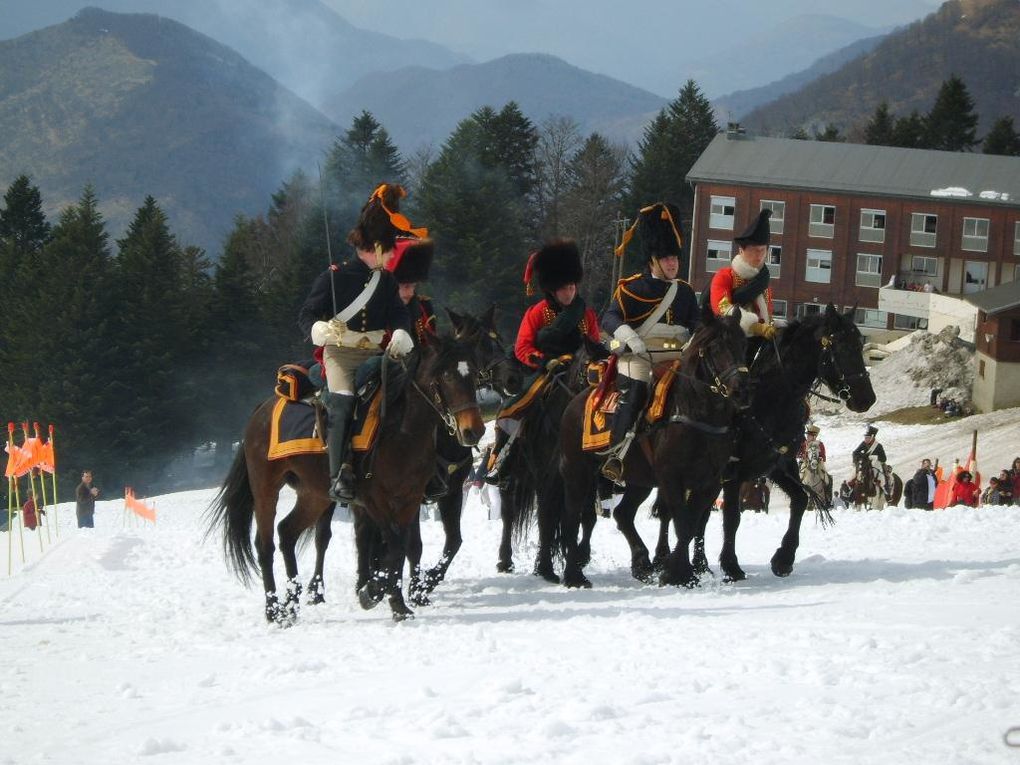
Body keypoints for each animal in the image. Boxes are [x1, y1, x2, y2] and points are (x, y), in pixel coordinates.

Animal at [205, 314, 487, 624]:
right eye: (446, 375)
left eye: (474, 373)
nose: (473, 431)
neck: (401, 430)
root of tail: (260, 411)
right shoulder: (374, 500)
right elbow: (393, 545)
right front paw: (377, 592)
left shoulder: (412, 499)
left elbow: (405, 547)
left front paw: (396, 600)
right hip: (266, 488)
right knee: (265, 544)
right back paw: (274, 609)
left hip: (314, 495)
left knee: (287, 532)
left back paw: (293, 601)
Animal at [558, 301, 750, 591]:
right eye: (716, 347)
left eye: (743, 344)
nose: (741, 391)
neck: (694, 411)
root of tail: (576, 401)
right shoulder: (671, 477)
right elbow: (683, 523)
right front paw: (678, 573)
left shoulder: (710, 482)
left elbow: (692, 523)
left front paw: (679, 570)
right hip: (578, 472)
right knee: (573, 517)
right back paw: (574, 575)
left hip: (639, 480)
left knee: (623, 514)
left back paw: (641, 563)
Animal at [689, 306, 881, 579]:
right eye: (843, 347)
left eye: (859, 344)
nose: (867, 398)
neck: (772, 398)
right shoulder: (733, 472)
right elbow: (732, 517)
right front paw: (731, 565)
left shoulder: (780, 464)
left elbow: (800, 500)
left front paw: (783, 558)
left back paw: (700, 564)